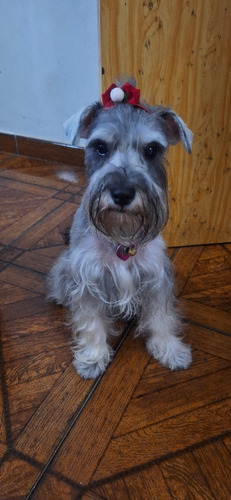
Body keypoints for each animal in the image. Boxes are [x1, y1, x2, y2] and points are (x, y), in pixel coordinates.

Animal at [47, 79, 194, 378]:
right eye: (100, 147)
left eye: (152, 150)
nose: (122, 193)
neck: (121, 237)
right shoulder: (87, 279)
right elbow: (90, 320)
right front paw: (92, 357)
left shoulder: (156, 277)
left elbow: (162, 316)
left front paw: (170, 349)